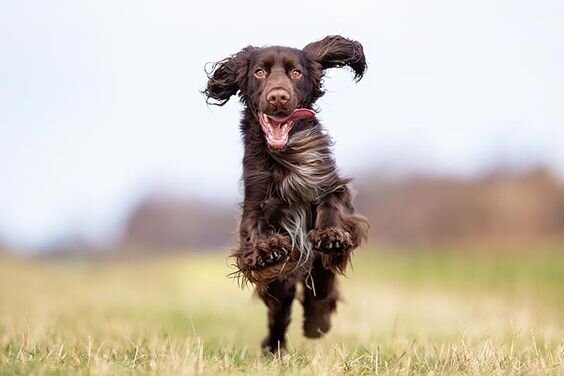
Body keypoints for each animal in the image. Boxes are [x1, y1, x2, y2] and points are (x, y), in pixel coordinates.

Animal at [205, 35, 368, 352]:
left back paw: (317, 323)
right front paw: (268, 249)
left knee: (322, 283)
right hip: (282, 285)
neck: (285, 155)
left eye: (296, 73)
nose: (278, 97)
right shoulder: (255, 203)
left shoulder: (331, 183)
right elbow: (254, 231)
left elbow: (332, 206)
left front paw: (331, 235)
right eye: (259, 72)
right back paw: (273, 347)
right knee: (279, 311)